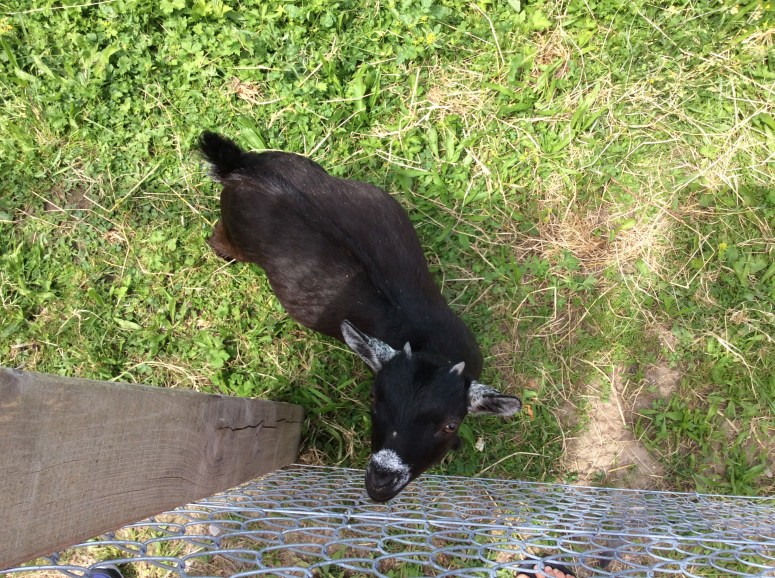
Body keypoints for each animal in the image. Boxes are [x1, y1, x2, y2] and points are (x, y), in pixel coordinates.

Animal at [199, 131, 521, 502]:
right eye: (373, 400)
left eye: (449, 424)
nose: (380, 483)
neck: (426, 344)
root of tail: (240, 167)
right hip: (236, 231)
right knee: (219, 238)